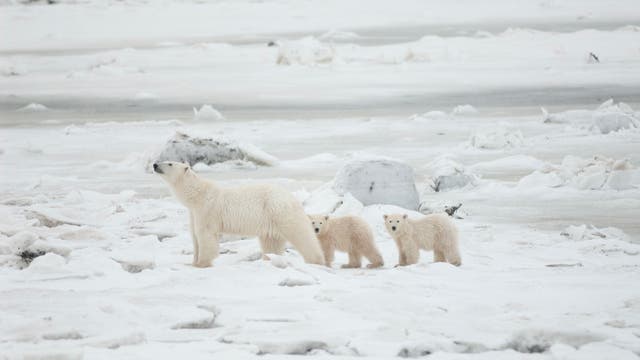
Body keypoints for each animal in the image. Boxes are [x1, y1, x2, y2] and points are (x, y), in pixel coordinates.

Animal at [154, 162, 324, 266]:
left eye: (169, 163)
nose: (155, 164)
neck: (198, 195)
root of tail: (292, 197)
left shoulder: (207, 210)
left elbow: (205, 236)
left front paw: (202, 263)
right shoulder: (194, 213)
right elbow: (195, 236)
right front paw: (193, 262)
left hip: (280, 212)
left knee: (301, 235)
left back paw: (316, 260)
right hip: (271, 221)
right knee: (271, 242)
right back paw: (269, 259)